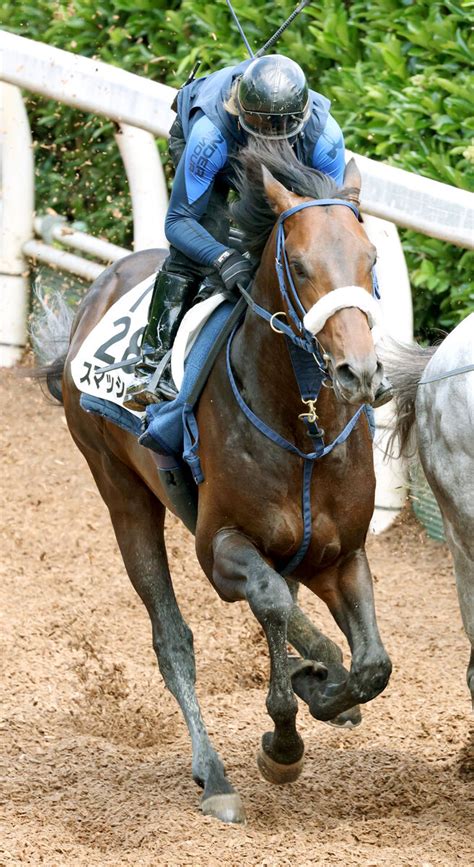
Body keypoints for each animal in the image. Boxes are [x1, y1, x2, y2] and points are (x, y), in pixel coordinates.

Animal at [33, 144, 392, 828]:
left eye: (371, 258)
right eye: (299, 265)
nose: (358, 373)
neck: (303, 426)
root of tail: (100, 287)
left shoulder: (344, 555)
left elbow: (373, 666)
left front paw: (325, 684)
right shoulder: (220, 546)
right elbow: (270, 600)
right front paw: (285, 737)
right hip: (121, 493)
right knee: (174, 638)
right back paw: (216, 774)